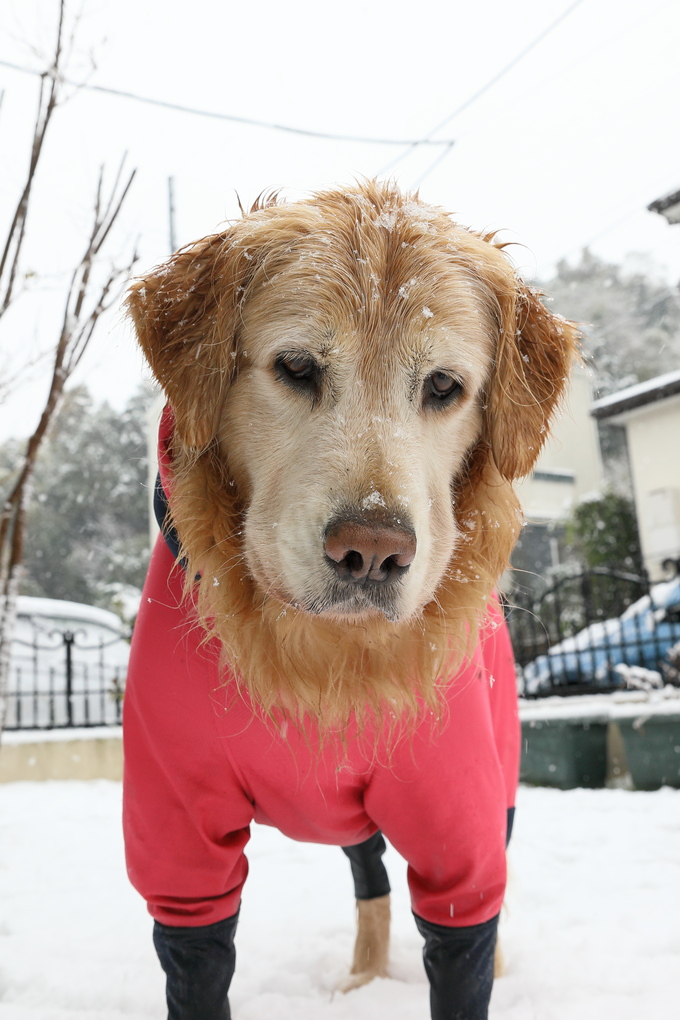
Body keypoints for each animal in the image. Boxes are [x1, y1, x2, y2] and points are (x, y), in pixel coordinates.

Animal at [124, 181, 579, 1020]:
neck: (323, 659)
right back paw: (363, 980)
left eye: (443, 387)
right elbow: (197, 968)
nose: (372, 550)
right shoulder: (177, 839)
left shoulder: (457, 827)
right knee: (369, 876)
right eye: (297, 366)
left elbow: (466, 939)